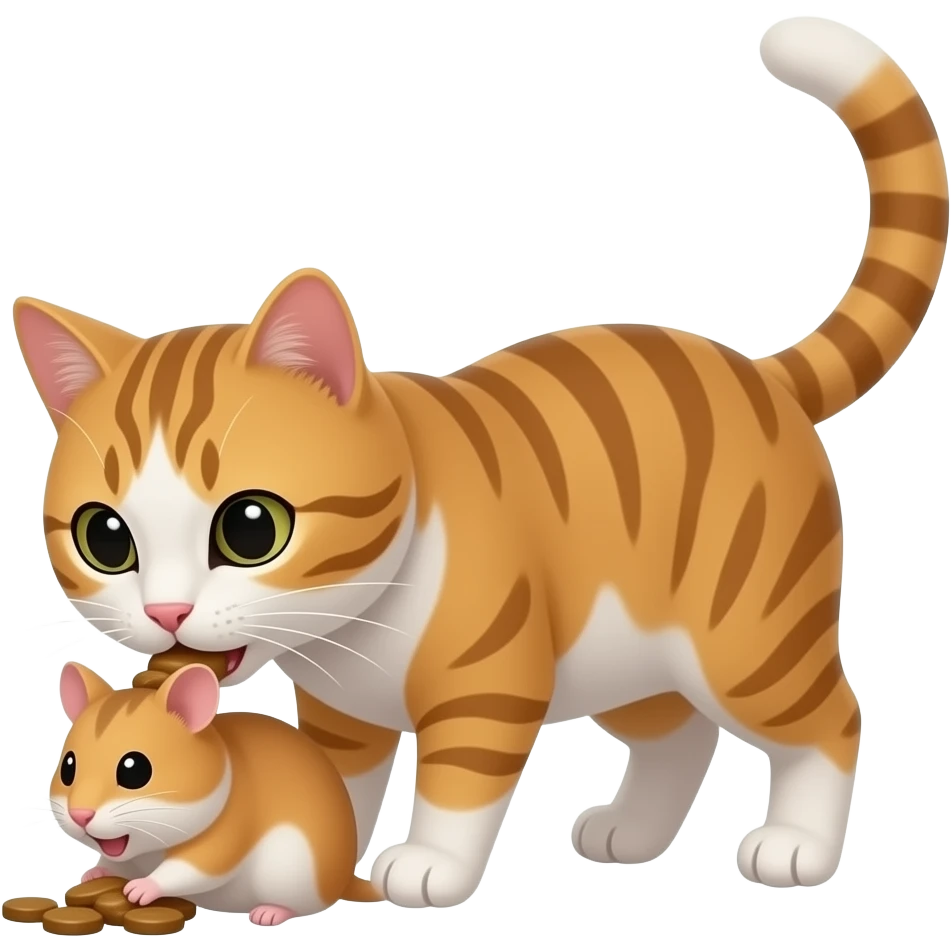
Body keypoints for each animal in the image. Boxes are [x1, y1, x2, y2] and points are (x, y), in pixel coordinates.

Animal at [50, 661, 380, 926]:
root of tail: (343, 879)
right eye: (67, 767)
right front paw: (92, 876)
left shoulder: (226, 837)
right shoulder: (123, 858)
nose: (80, 815)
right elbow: (111, 861)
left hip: (293, 872)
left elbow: (193, 867)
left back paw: (269, 913)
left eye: (134, 770)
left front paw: (139, 890)